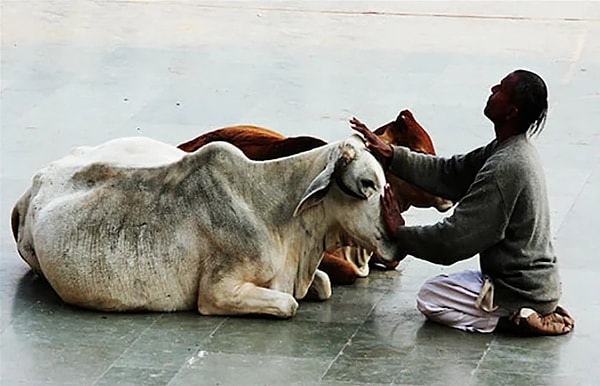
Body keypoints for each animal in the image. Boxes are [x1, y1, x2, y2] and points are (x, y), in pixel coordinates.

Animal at [11, 134, 400, 318]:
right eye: (367, 184)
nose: (395, 242)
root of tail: (37, 181)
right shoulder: (218, 291)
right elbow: (289, 304)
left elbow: (324, 285)